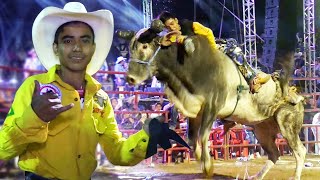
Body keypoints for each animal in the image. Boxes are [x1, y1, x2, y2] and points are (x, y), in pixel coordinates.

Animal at [119, 24, 306, 179]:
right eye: (130, 47)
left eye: (145, 46)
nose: (130, 78)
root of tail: (296, 95)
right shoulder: (195, 111)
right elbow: (192, 138)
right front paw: (202, 163)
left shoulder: (213, 106)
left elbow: (202, 136)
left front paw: (208, 167)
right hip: (262, 129)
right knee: (274, 153)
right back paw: (257, 176)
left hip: (286, 123)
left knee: (300, 150)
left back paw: (295, 176)